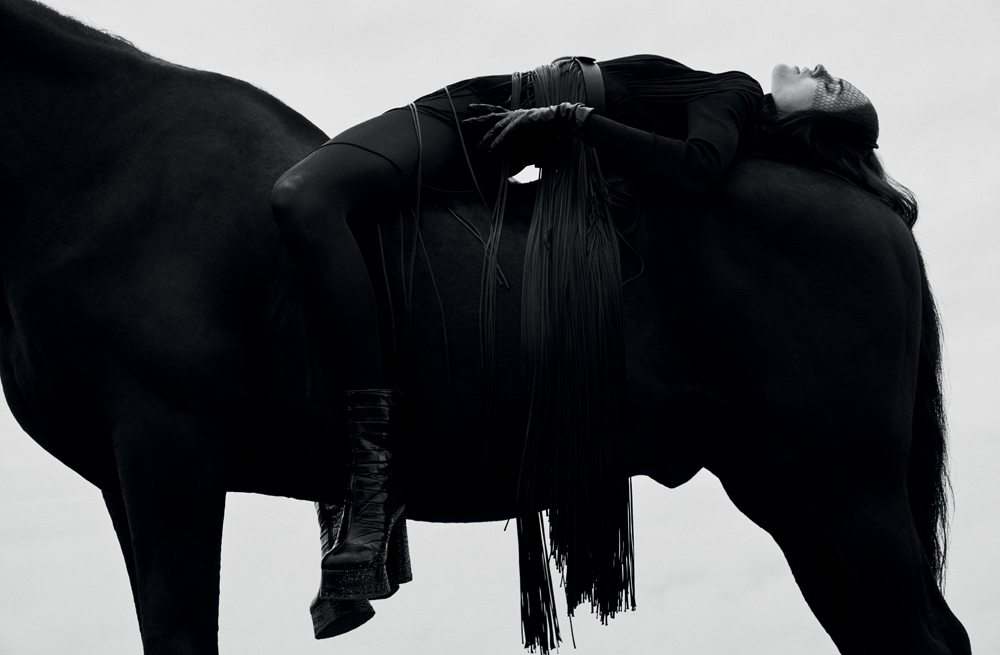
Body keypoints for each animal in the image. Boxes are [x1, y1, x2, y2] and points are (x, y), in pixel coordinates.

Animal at [0, 1, 971, 653]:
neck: (107, 157)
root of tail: (875, 208)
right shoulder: (130, 478)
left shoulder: (171, 453)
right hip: (786, 490)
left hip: (848, 485)